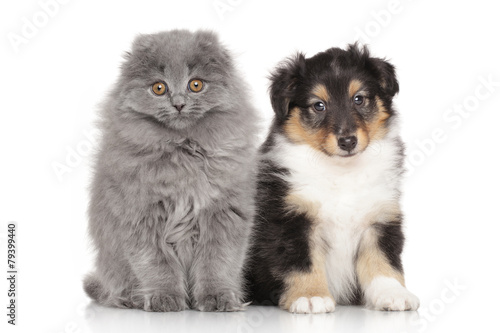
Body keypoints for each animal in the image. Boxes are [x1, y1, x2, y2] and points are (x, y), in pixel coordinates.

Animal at [83, 29, 258, 312]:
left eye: (195, 85)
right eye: (159, 88)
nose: (178, 103)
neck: (182, 154)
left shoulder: (224, 215)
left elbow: (217, 264)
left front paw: (217, 298)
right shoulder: (141, 217)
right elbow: (157, 265)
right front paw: (164, 298)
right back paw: (133, 299)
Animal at [248, 44, 420, 314]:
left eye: (359, 98)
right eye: (319, 105)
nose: (347, 141)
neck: (342, 171)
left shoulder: (380, 217)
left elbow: (383, 259)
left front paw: (393, 294)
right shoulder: (290, 218)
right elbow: (302, 261)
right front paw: (310, 296)